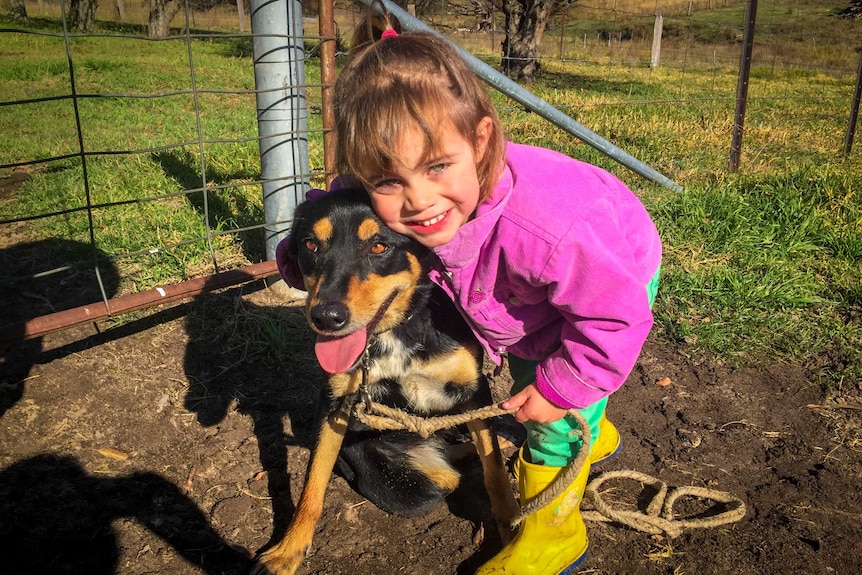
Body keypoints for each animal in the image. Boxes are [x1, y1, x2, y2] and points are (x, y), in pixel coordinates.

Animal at [253, 189, 516, 575]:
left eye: (379, 246)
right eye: (310, 245)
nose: (326, 317)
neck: (395, 334)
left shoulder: (474, 391)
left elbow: (494, 469)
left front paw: (512, 528)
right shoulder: (335, 403)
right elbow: (312, 483)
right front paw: (288, 550)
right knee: (444, 476)